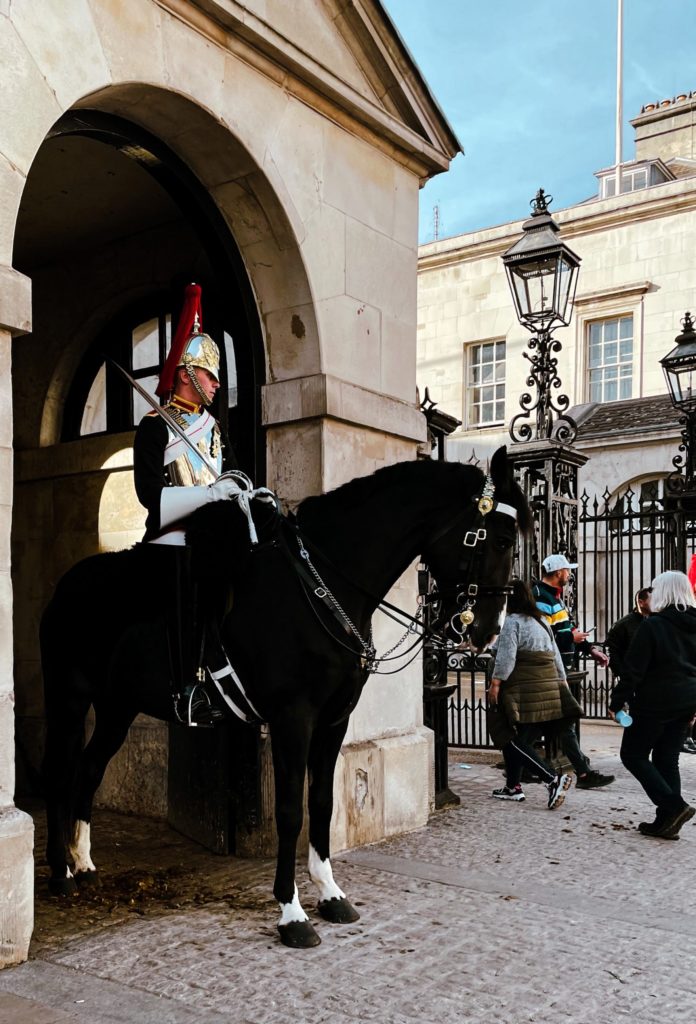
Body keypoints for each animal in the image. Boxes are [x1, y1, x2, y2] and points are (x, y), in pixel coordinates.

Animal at [40, 448, 528, 942]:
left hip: (117, 707)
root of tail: (68, 582)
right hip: (67, 698)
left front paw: (330, 893)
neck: (323, 587)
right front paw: (291, 911)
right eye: (503, 540)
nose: (487, 633)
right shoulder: (293, 718)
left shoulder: (334, 720)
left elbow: (322, 802)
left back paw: (83, 862)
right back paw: (60, 873)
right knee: (59, 773)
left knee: (90, 768)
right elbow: (291, 809)